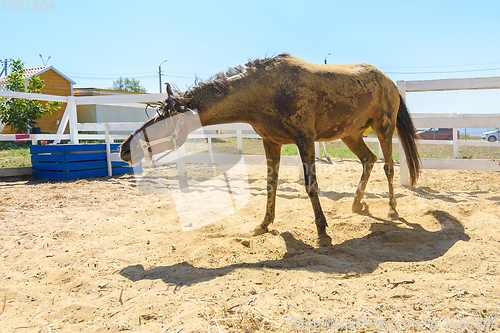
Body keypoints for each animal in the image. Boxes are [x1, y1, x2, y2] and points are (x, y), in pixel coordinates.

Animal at [119, 53, 420, 246]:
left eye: (163, 118)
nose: (124, 149)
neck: (267, 91)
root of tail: (389, 81)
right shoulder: (271, 142)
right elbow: (270, 183)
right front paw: (263, 224)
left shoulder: (305, 139)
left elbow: (311, 184)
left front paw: (322, 232)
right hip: (351, 135)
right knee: (368, 160)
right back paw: (357, 203)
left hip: (383, 128)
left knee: (388, 167)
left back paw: (392, 210)